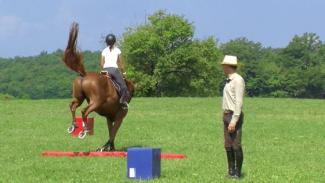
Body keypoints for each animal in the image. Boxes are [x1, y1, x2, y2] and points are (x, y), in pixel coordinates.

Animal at [62, 22, 135, 152]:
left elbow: (111, 131)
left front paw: (108, 147)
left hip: (79, 98)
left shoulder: (109, 117)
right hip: (96, 101)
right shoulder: (119, 117)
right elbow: (113, 132)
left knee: (73, 106)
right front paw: (108, 147)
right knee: (84, 111)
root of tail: (84, 75)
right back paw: (84, 130)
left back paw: (73, 126)